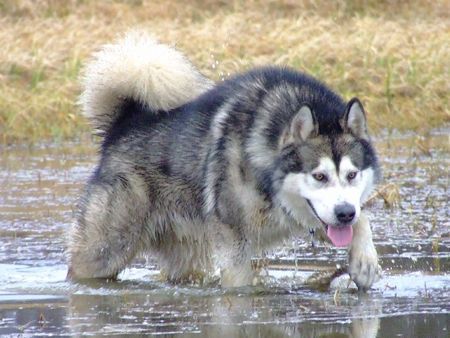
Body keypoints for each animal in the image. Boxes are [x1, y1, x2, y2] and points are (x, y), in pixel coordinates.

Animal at [67, 32, 384, 290]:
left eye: (352, 175)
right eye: (319, 176)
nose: (344, 213)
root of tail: (125, 124)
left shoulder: (316, 217)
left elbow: (363, 219)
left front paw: (364, 262)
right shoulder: (234, 242)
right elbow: (237, 285)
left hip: (188, 253)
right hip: (106, 250)